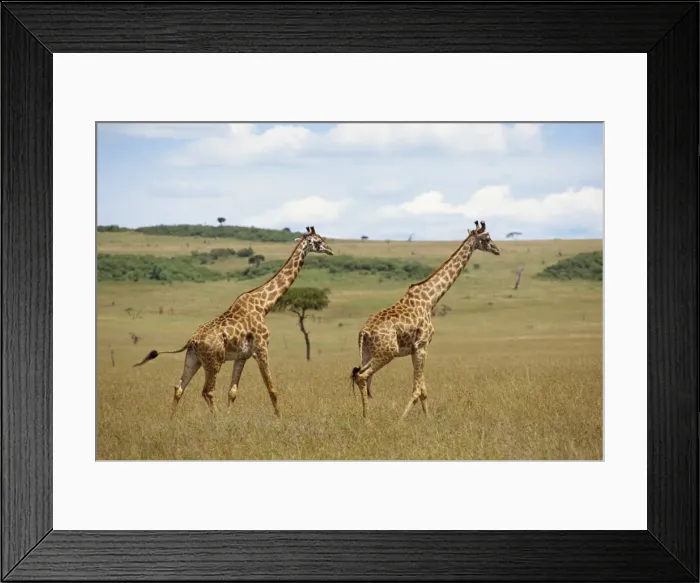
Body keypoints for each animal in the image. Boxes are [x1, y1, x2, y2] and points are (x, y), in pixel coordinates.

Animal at [133, 226, 334, 417]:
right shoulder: (262, 348)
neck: (264, 305)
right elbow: (272, 388)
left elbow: (232, 392)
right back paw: (217, 420)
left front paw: (230, 416)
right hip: (214, 361)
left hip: (193, 359)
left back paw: (171, 420)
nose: (330, 250)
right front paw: (279, 418)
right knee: (207, 391)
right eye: (318, 241)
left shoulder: (242, 356)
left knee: (179, 387)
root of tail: (192, 340)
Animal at [350, 220, 501, 420]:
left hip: (368, 353)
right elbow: (418, 389)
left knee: (361, 377)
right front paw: (402, 419)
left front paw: (427, 419)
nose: (497, 249)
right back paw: (368, 420)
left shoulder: (415, 349)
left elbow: (422, 389)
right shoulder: (422, 345)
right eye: (487, 238)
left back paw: (366, 417)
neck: (430, 300)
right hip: (387, 352)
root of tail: (364, 332)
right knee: (362, 376)